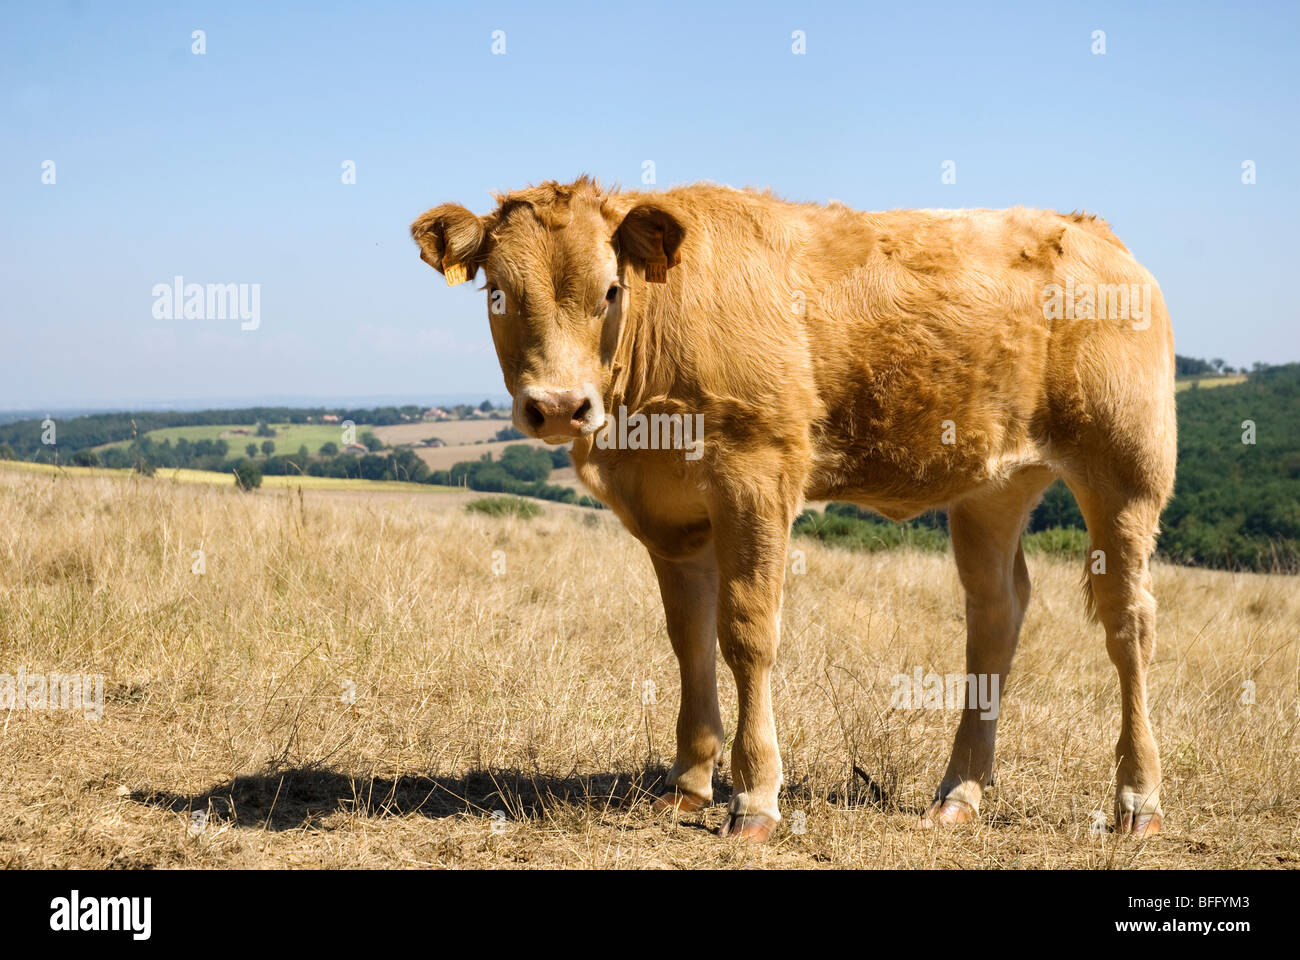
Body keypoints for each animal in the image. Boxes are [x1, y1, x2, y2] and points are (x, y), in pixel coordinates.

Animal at [411, 177, 1176, 842]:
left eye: (610, 290)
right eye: (498, 294)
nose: (559, 406)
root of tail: (1090, 229)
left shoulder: (756, 475)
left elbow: (747, 634)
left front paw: (753, 798)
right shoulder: (671, 517)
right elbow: (689, 639)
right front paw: (688, 784)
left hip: (1126, 468)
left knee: (1129, 622)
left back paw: (1138, 799)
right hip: (993, 487)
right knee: (996, 613)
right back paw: (958, 794)